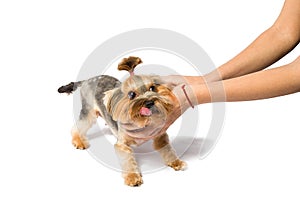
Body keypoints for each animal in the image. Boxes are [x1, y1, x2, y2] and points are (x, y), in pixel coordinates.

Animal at [57, 56, 186, 186]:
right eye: (131, 94)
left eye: (152, 88)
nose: (150, 102)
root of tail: (86, 80)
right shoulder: (122, 144)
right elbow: (127, 159)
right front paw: (132, 177)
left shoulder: (160, 135)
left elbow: (167, 149)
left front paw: (176, 162)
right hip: (88, 110)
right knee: (78, 126)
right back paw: (79, 141)